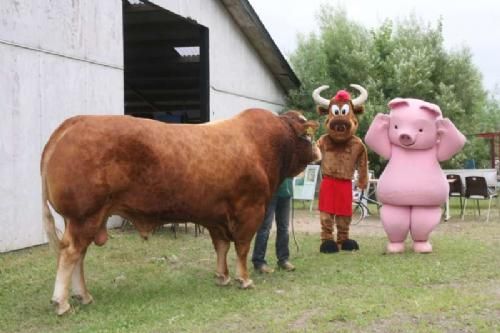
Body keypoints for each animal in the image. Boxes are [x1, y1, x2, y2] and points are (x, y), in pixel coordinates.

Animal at [41, 108, 318, 314]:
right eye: (307, 135)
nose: (318, 152)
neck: (263, 145)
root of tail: (76, 121)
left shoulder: (215, 216)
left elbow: (221, 246)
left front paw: (223, 277)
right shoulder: (250, 210)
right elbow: (241, 247)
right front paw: (244, 279)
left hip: (83, 219)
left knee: (79, 255)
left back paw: (83, 295)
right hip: (85, 216)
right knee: (71, 253)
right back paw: (62, 302)